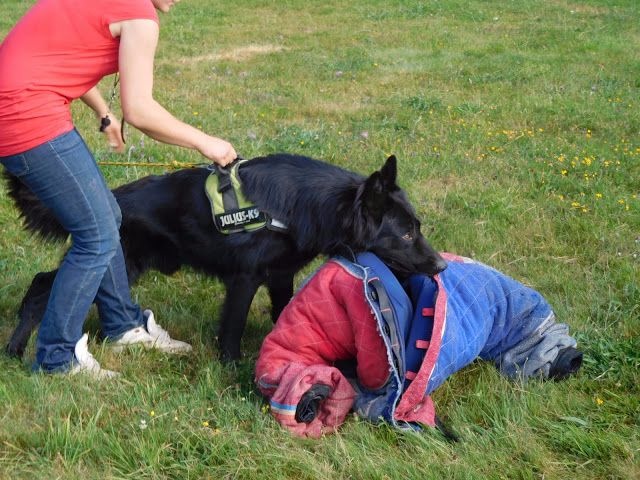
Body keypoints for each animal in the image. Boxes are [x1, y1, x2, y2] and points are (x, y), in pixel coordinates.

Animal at [3, 153, 447, 361]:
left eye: (418, 227)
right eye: (406, 233)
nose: (441, 266)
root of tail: (111, 200)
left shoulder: (280, 275)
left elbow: (284, 313)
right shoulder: (244, 279)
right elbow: (232, 329)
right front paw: (230, 367)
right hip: (115, 265)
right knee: (43, 286)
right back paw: (15, 349)